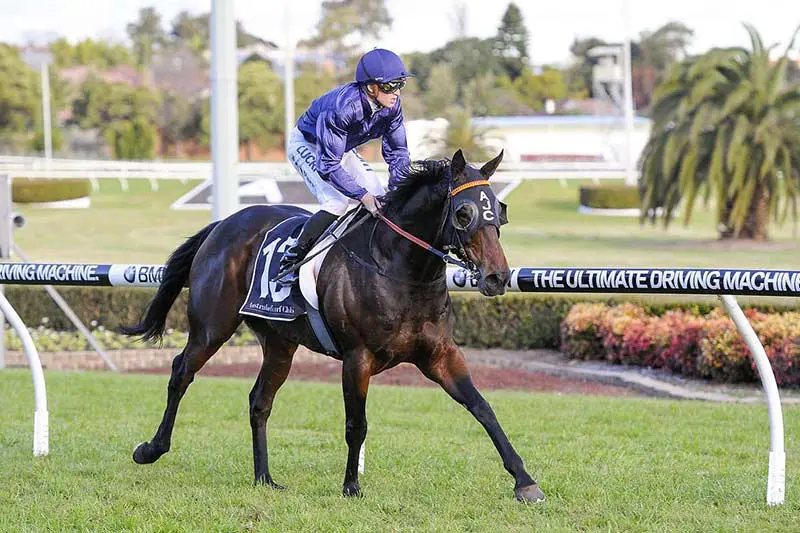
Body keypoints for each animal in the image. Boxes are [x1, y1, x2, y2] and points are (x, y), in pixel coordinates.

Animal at [125, 150, 548, 502]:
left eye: (500, 210)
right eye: (463, 213)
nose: (497, 276)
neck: (399, 270)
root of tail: (222, 224)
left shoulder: (440, 355)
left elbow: (482, 407)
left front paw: (525, 482)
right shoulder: (357, 358)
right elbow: (356, 424)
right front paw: (351, 485)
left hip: (279, 343)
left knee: (260, 401)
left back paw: (265, 478)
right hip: (212, 327)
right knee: (181, 372)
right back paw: (151, 449)